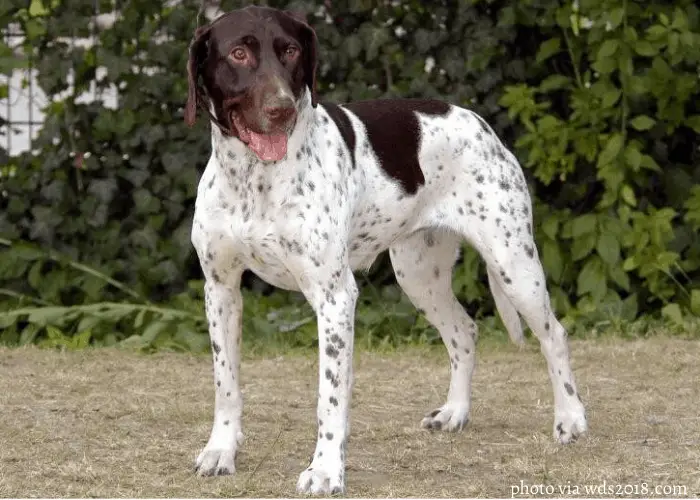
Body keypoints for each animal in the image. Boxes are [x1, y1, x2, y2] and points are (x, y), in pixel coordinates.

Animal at [183, 5, 588, 494]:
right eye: (238, 53)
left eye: (291, 50)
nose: (282, 109)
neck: (253, 179)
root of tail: (478, 121)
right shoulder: (220, 289)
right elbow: (226, 384)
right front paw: (221, 450)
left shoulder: (335, 298)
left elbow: (329, 397)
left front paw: (325, 470)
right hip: (418, 276)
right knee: (464, 331)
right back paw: (455, 412)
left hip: (513, 265)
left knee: (554, 336)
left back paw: (571, 419)